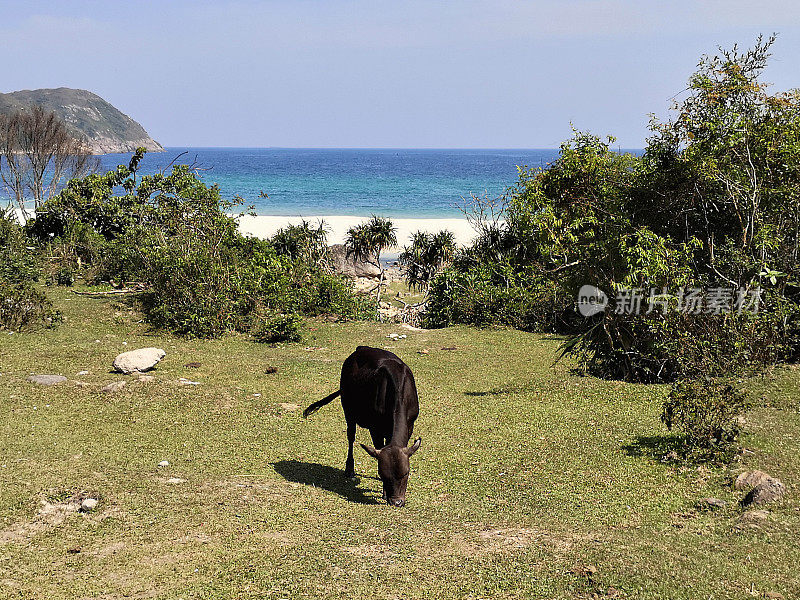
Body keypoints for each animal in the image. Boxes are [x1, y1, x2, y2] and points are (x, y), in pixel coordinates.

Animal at [304, 342, 422, 506]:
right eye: (384, 474)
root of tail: (360, 348)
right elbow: (378, 446)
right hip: (348, 408)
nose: (397, 502)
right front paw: (384, 492)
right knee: (350, 436)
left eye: (406, 473)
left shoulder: (410, 424)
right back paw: (349, 469)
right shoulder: (375, 427)